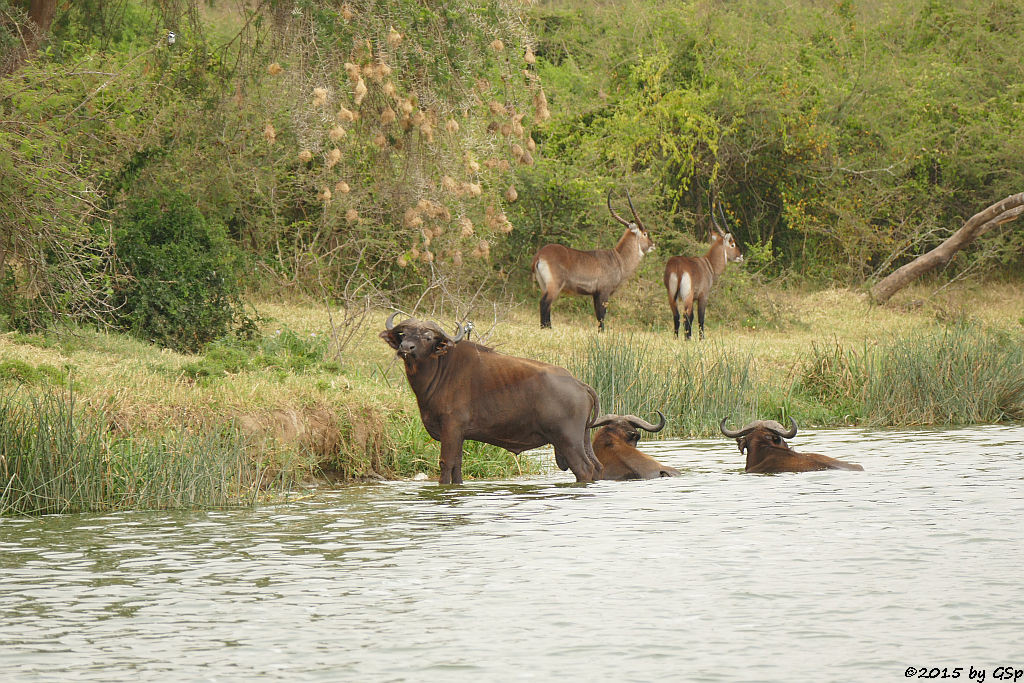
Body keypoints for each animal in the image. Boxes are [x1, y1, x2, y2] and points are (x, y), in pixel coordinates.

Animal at [380, 313, 602, 483]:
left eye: (427, 337)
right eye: (404, 334)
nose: (406, 348)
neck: (440, 368)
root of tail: (579, 384)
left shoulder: (451, 427)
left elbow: (446, 463)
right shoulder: (459, 434)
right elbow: (457, 465)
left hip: (568, 440)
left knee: (584, 469)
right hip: (583, 439)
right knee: (597, 467)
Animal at [528, 188, 655, 329]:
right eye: (645, 233)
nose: (653, 245)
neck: (619, 258)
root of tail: (540, 254)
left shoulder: (595, 294)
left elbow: (598, 315)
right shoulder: (603, 293)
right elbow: (602, 316)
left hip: (544, 286)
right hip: (554, 286)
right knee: (545, 303)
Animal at [663, 201, 745, 337]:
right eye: (732, 244)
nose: (741, 256)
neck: (708, 264)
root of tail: (678, 267)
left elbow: (692, 318)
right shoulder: (703, 296)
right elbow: (700, 318)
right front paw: (701, 339)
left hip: (672, 296)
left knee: (677, 316)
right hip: (687, 297)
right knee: (686, 317)